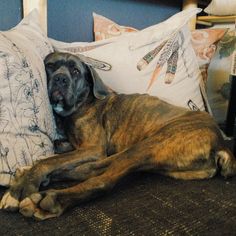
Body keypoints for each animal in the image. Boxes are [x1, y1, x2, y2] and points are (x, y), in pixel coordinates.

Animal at [0, 52, 236, 220]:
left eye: (75, 71)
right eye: (50, 66)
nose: (60, 79)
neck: (83, 103)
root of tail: (221, 143)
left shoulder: (93, 148)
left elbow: (49, 161)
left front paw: (23, 186)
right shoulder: (77, 147)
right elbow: (57, 152)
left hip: (150, 144)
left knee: (103, 180)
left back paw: (49, 198)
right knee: (96, 168)